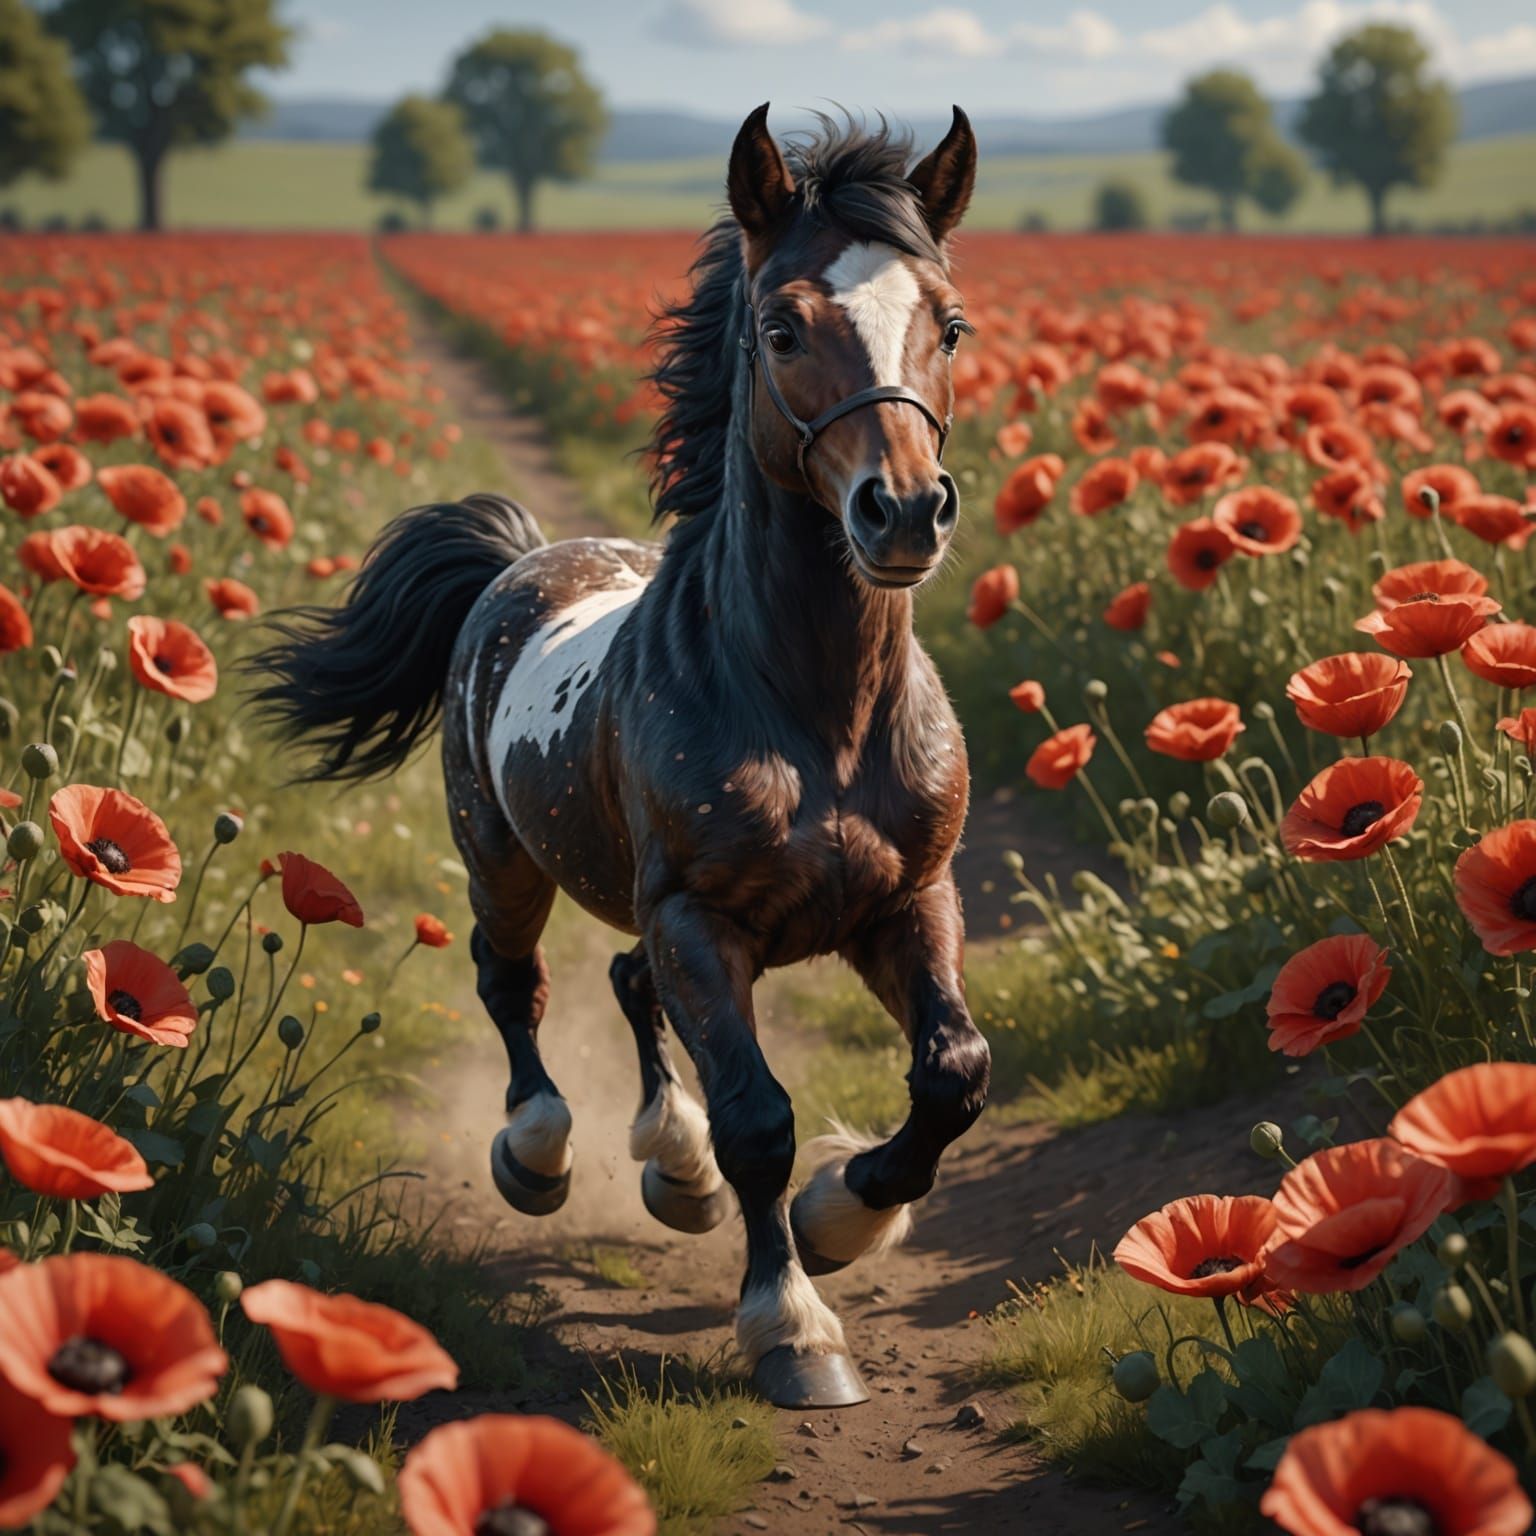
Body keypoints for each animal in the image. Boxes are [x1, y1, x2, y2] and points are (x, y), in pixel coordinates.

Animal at [253, 104, 991, 1409]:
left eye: (947, 323)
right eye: (781, 327)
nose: (903, 511)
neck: (817, 713)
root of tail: (518, 560)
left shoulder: (909, 899)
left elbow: (953, 1072)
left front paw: (843, 1215)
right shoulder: (700, 916)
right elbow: (757, 1117)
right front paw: (795, 1328)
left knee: (625, 983)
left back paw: (673, 1169)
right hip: (501, 858)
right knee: (516, 984)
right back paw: (540, 1154)